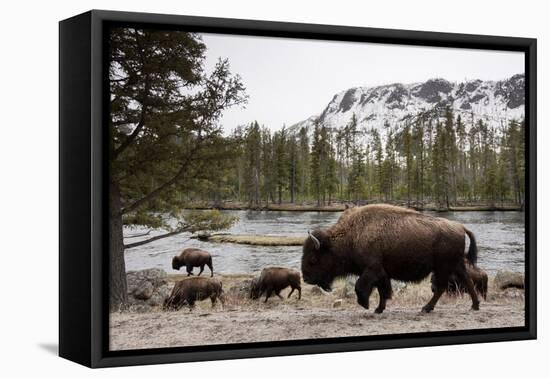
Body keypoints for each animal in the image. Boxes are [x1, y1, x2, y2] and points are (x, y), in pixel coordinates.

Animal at [304, 204, 480, 314]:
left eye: (313, 259)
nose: (306, 278)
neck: (351, 235)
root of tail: (460, 227)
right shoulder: (382, 273)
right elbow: (383, 291)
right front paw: (378, 309)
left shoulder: (372, 269)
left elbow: (361, 287)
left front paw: (366, 305)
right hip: (455, 265)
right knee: (467, 281)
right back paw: (474, 306)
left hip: (443, 267)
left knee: (442, 287)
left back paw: (426, 308)